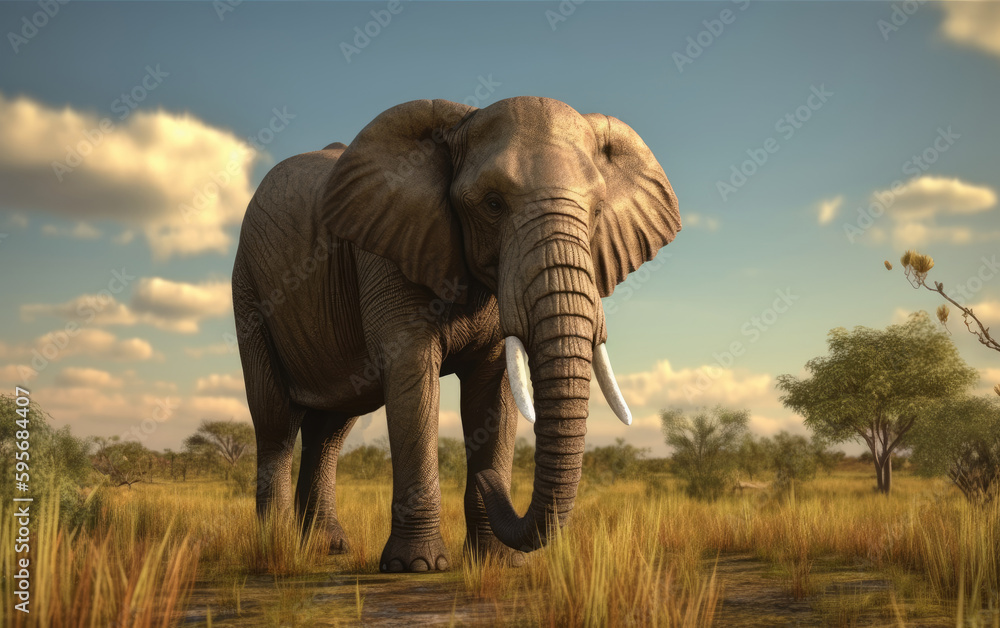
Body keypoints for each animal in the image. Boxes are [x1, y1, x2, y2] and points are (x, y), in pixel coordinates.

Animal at [232, 96, 680, 573]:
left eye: (596, 211)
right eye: (493, 204)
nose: (489, 482)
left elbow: (494, 391)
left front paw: (497, 563)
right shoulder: (390, 245)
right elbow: (413, 379)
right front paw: (418, 567)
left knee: (331, 426)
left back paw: (326, 546)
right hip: (249, 289)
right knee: (276, 421)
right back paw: (277, 544)